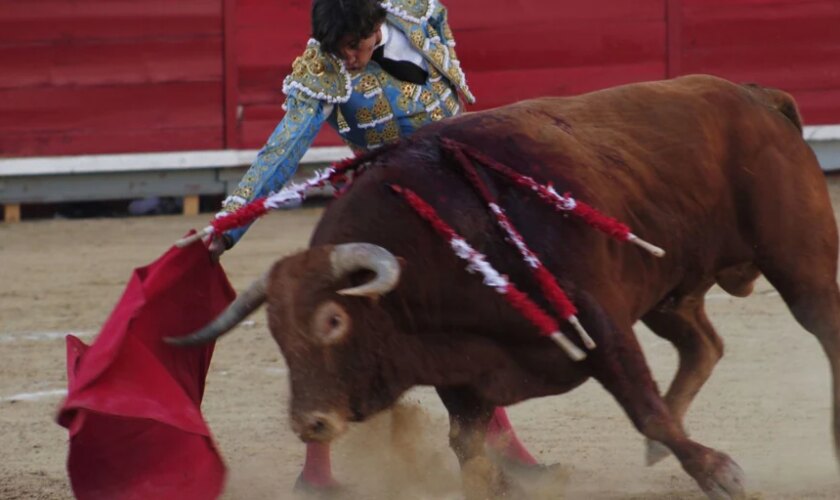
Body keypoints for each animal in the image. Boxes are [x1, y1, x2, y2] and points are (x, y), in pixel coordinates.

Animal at [171, 75, 840, 500]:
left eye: (333, 321)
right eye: (277, 335)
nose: (309, 421)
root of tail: (756, 97)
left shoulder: (597, 322)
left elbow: (643, 408)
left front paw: (721, 473)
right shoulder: (464, 371)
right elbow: (467, 446)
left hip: (798, 257)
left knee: (822, 327)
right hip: (670, 286)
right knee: (703, 343)